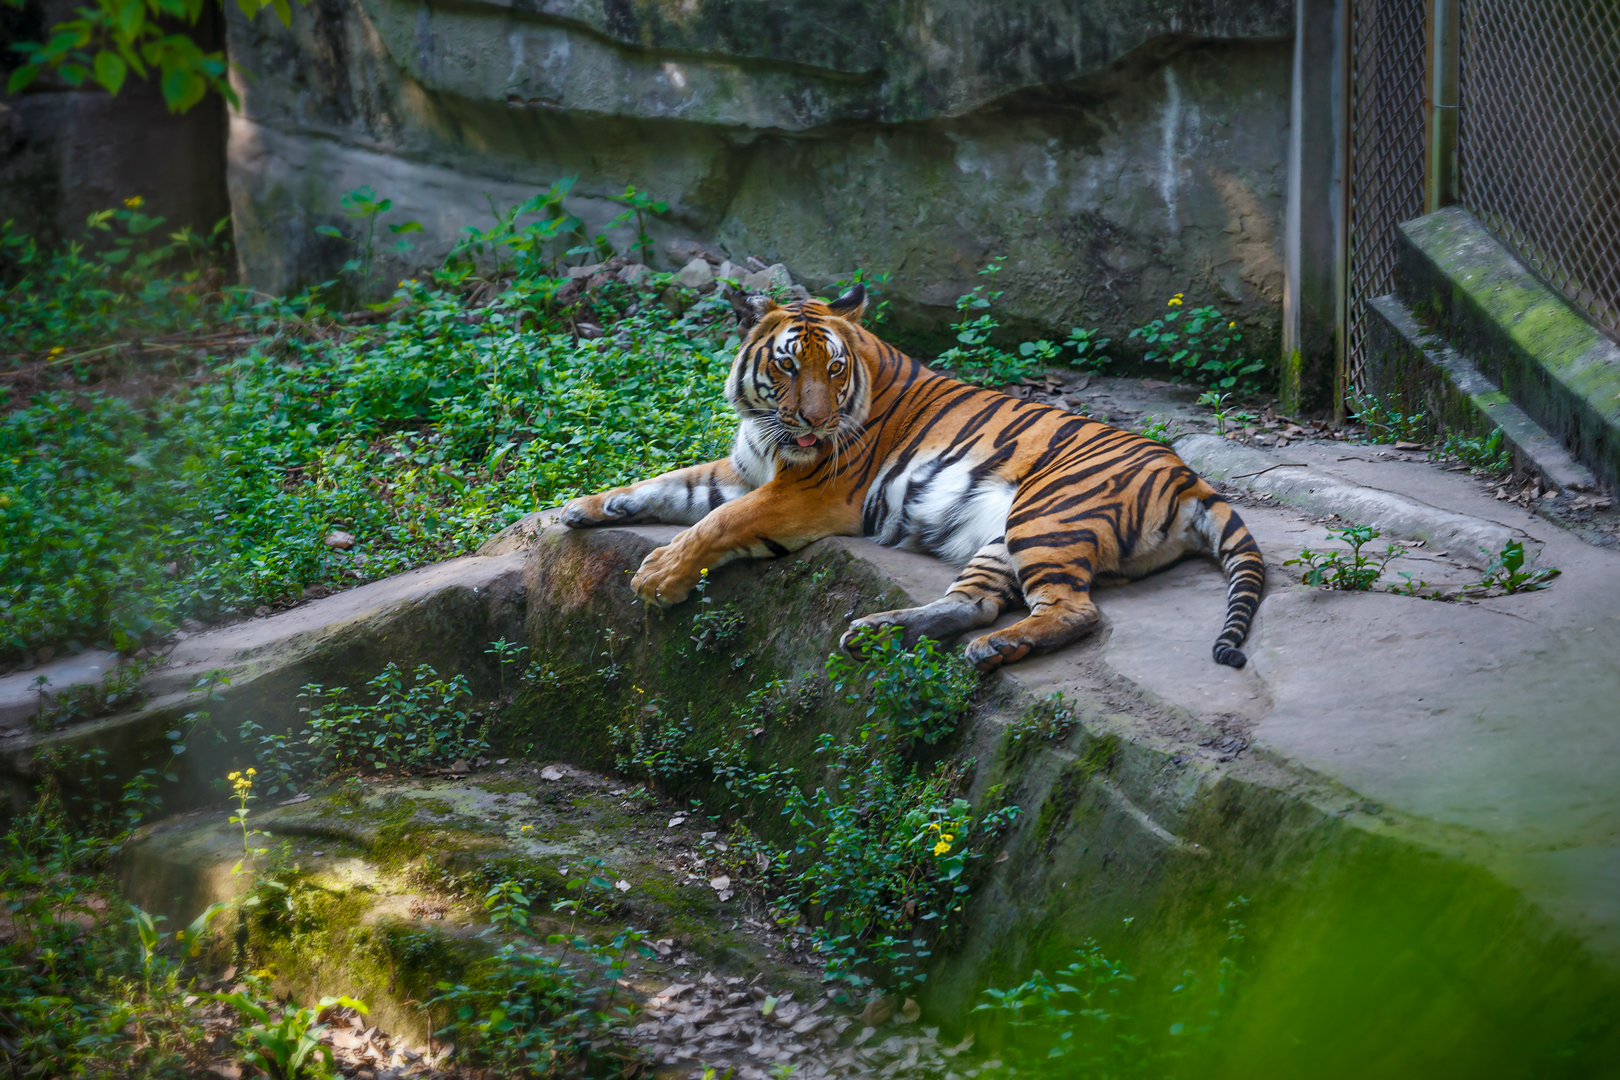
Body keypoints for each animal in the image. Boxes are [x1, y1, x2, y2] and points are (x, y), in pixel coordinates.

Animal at [561, 284, 1265, 671]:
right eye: (787, 366)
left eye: (834, 368)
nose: (816, 421)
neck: (767, 427)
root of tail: (1190, 477)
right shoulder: (743, 468)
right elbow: (668, 485)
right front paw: (583, 507)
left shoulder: (805, 493)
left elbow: (716, 521)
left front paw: (658, 578)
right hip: (1005, 536)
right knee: (977, 601)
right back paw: (883, 633)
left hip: (1045, 513)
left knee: (1075, 610)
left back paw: (988, 648)